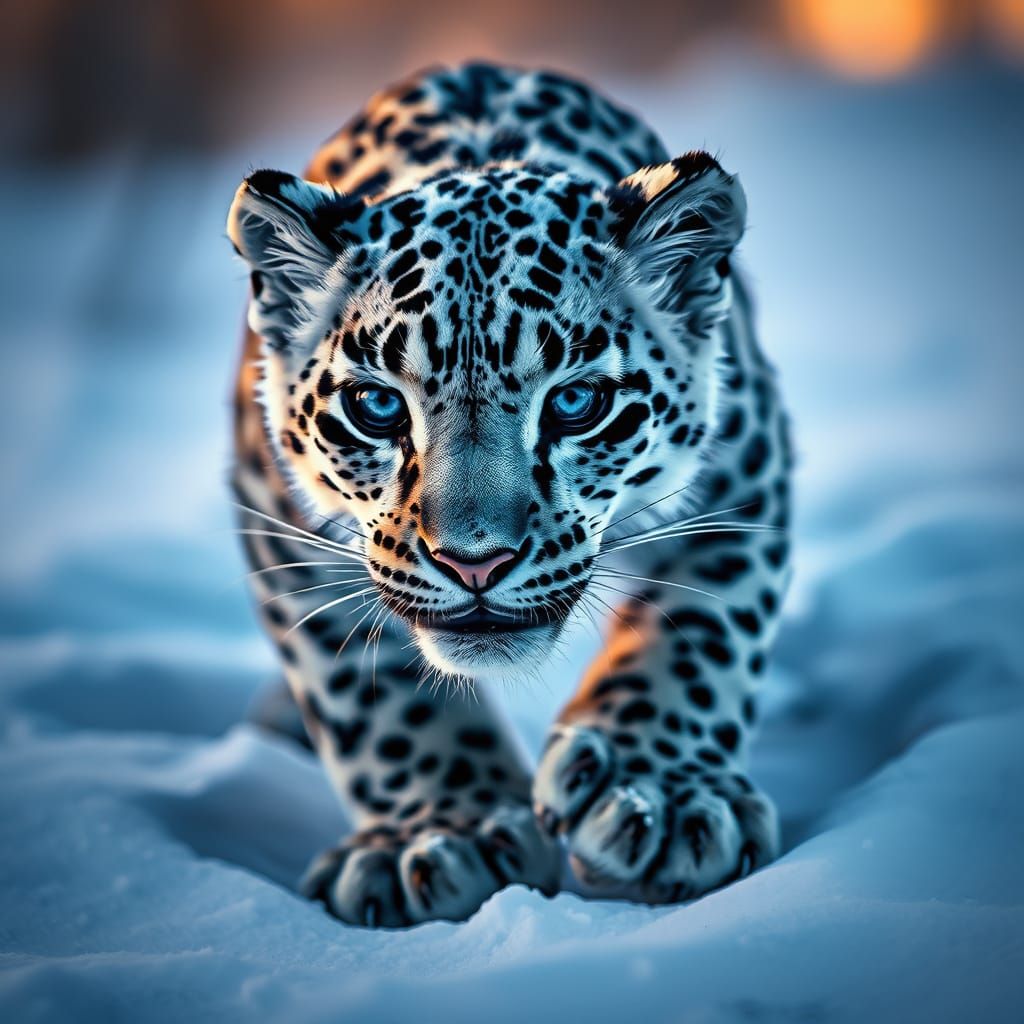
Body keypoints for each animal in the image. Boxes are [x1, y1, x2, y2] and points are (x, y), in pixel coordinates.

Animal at [226, 61, 793, 927]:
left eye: (576, 402)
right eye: (377, 405)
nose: (475, 564)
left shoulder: (743, 467)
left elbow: (701, 633)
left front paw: (656, 793)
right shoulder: (279, 518)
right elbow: (373, 701)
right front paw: (436, 835)